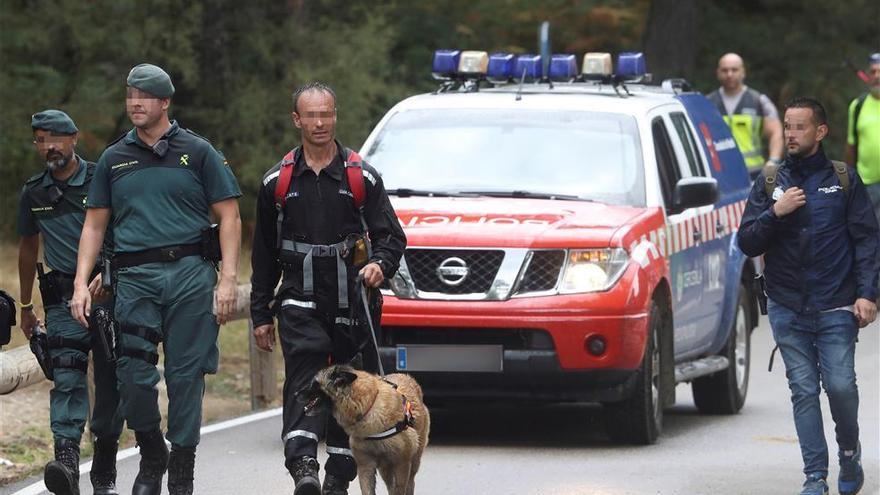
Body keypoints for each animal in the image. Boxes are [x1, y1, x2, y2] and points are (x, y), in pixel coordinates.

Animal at [300, 364, 430, 495]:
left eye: (315, 384)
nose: (296, 394)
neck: (367, 406)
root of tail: (406, 376)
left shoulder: (401, 465)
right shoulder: (365, 466)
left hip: (412, 464)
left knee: (410, 483)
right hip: (385, 469)